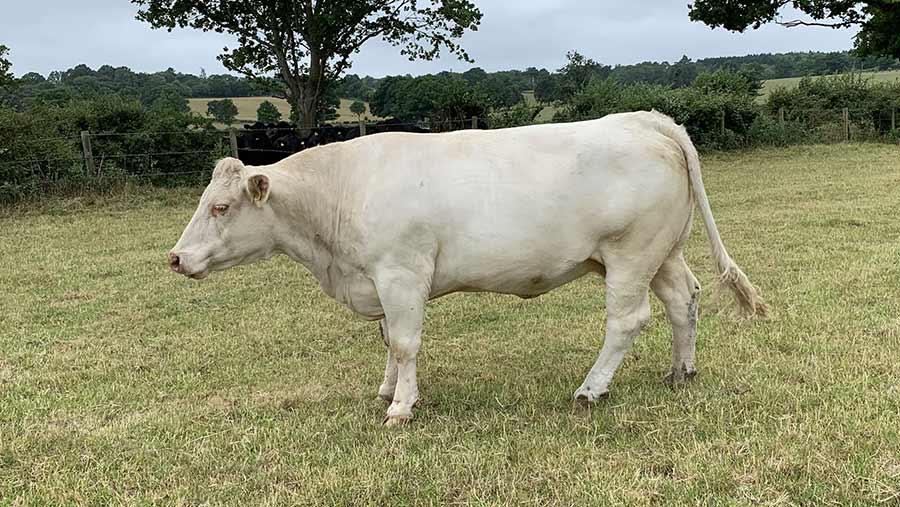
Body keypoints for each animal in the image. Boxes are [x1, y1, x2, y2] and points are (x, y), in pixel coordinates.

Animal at [169, 113, 768, 426]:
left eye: (220, 207)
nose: (175, 258)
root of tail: (643, 119)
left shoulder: (401, 273)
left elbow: (404, 342)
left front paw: (401, 407)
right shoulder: (379, 282)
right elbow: (388, 342)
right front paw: (387, 389)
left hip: (630, 252)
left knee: (627, 319)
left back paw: (590, 390)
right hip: (660, 253)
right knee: (684, 298)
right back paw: (681, 372)